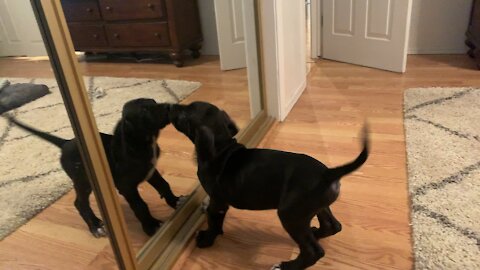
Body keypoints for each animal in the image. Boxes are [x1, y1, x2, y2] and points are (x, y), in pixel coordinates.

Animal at [8, 98, 181, 236]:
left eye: (154, 102)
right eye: (145, 110)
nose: (170, 106)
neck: (141, 143)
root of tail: (66, 143)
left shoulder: (151, 171)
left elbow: (164, 185)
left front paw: (176, 201)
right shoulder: (127, 187)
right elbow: (140, 206)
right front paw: (151, 226)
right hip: (83, 181)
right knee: (79, 203)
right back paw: (95, 225)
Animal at [167, 102, 370, 270]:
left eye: (186, 111)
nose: (170, 107)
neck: (220, 146)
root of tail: (328, 174)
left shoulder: (218, 201)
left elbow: (213, 219)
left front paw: (207, 239)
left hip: (290, 214)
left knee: (313, 251)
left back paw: (287, 266)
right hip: (315, 207)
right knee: (332, 226)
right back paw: (316, 233)